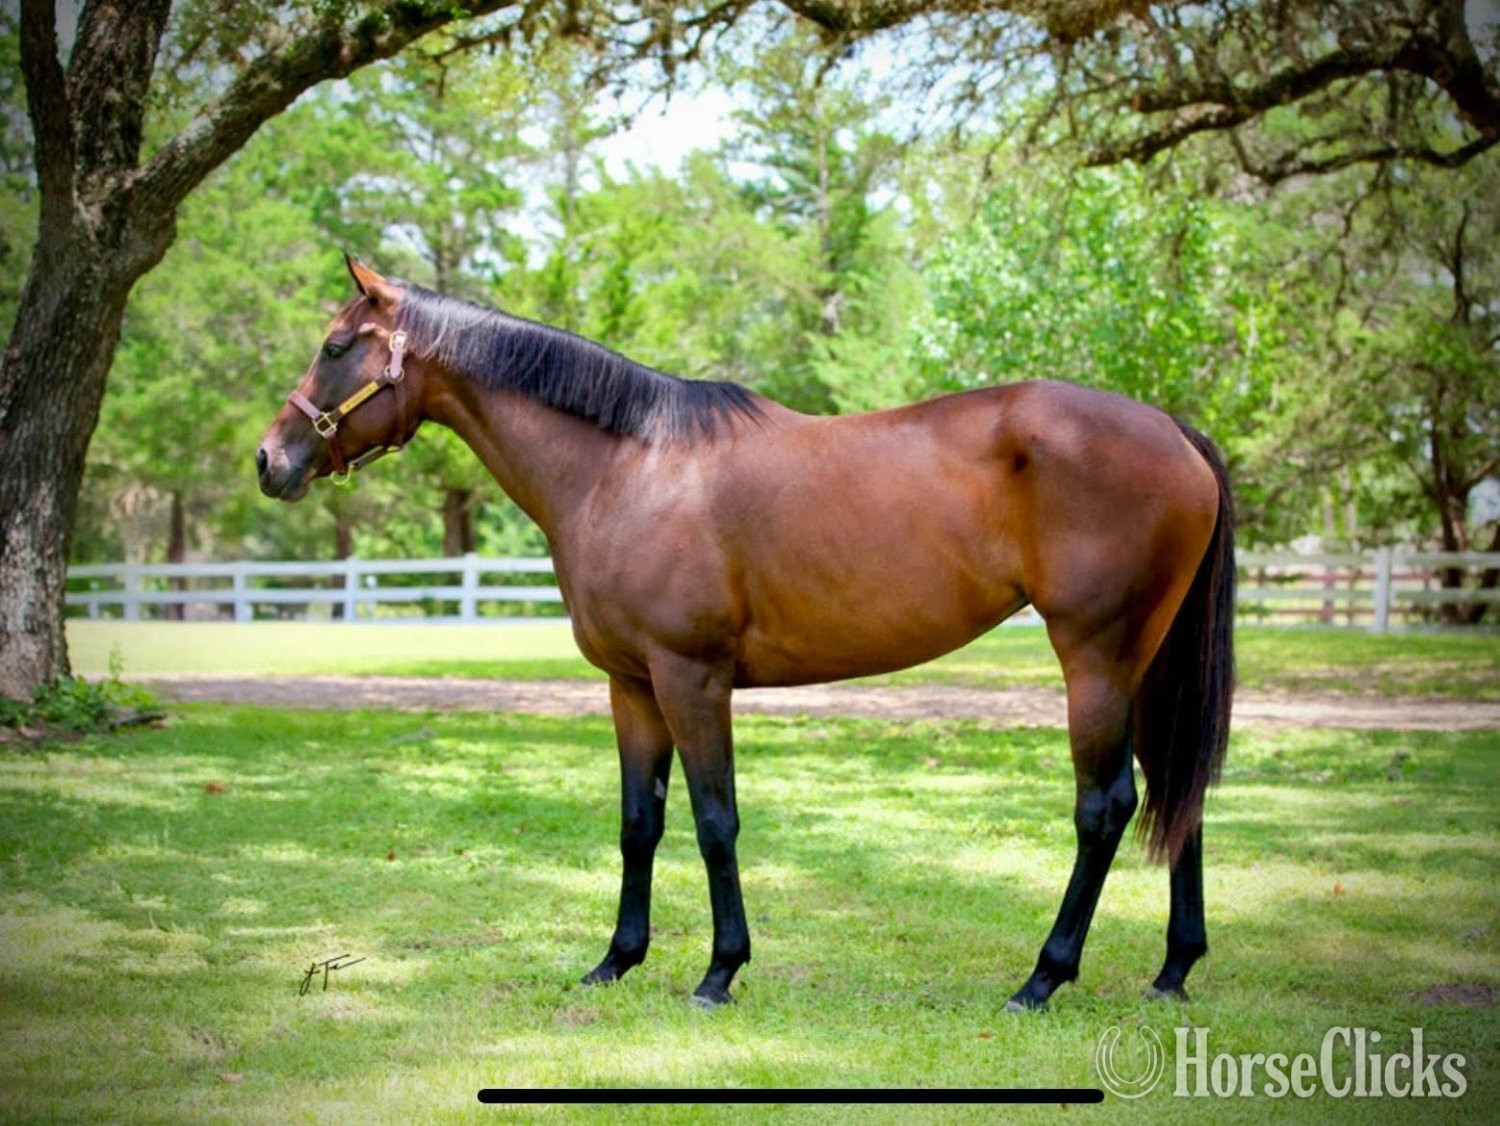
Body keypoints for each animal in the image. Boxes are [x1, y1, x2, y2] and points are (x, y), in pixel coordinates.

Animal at [256, 257, 1235, 1011]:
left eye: (336, 347)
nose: (270, 460)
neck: (629, 465)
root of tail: (1173, 429)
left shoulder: (692, 678)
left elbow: (714, 820)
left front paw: (719, 972)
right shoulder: (632, 686)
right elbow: (639, 822)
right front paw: (616, 961)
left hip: (1095, 659)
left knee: (1105, 806)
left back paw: (1042, 979)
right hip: (1148, 662)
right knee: (1178, 791)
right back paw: (1173, 970)